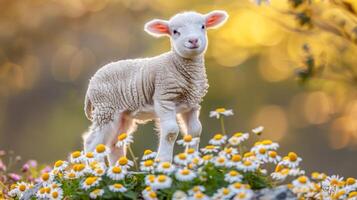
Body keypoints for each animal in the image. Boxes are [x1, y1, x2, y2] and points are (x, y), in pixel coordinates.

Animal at [82, 9, 228, 164]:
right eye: (175, 31)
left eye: (203, 26)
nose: (193, 40)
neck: (176, 64)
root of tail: (91, 83)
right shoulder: (164, 96)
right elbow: (171, 131)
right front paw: (163, 161)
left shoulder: (191, 104)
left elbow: (195, 131)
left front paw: (192, 161)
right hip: (106, 109)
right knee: (92, 143)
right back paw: (97, 168)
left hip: (122, 115)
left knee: (115, 143)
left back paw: (117, 167)